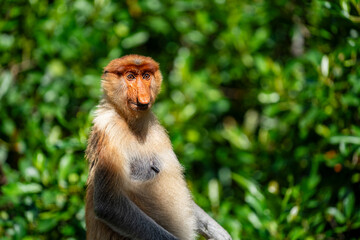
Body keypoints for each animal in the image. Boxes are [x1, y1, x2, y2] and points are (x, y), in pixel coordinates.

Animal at [85, 54, 231, 240]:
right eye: (130, 76)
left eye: (146, 76)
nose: (143, 96)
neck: (131, 123)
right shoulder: (109, 132)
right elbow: (109, 204)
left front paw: (221, 233)